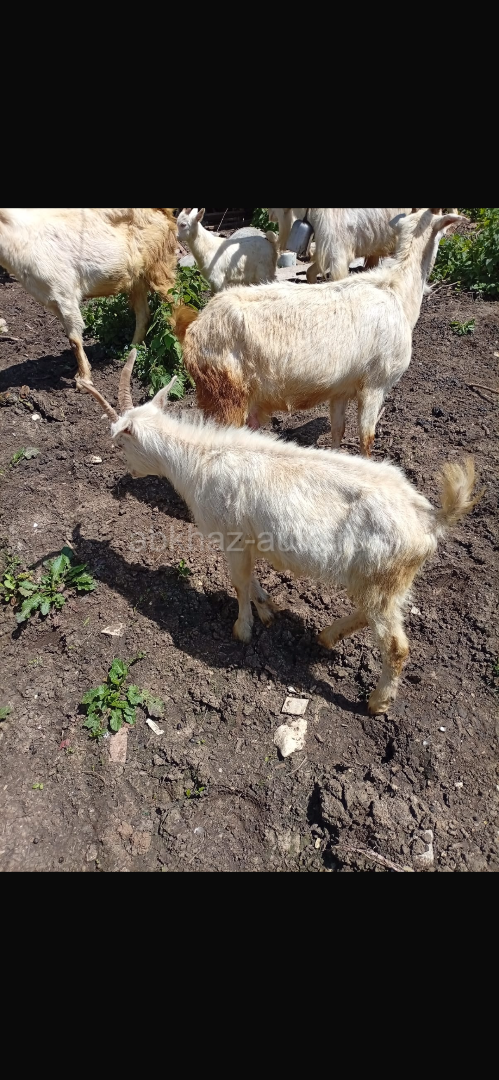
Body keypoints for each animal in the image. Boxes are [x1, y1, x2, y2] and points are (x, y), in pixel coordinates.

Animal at [0, 207, 177, 381]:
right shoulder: (54, 301)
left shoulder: (65, 294)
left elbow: (74, 339)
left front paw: (84, 378)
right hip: (137, 280)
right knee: (143, 315)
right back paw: (130, 352)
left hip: (159, 268)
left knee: (174, 306)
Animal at [79, 352, 480, 715]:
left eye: (120, 443)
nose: (130, 473)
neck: (199, 459)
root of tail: (430, 518)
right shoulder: (250, 540)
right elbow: (251, 577)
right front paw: (267, 607)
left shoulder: (233, 537)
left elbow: (238, 581)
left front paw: (242, 629)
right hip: (376, 582)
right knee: (366, 615)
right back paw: (325, 637)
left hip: (383, 578)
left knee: (395, 646)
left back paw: (377, 703)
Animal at [177, 209, 466, 454]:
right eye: (441, 233)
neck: (397, 289)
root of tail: (194, 333)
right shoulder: (375, 384)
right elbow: (366, 438)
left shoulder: (341, 389)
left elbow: (339, 430)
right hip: (226, 393)